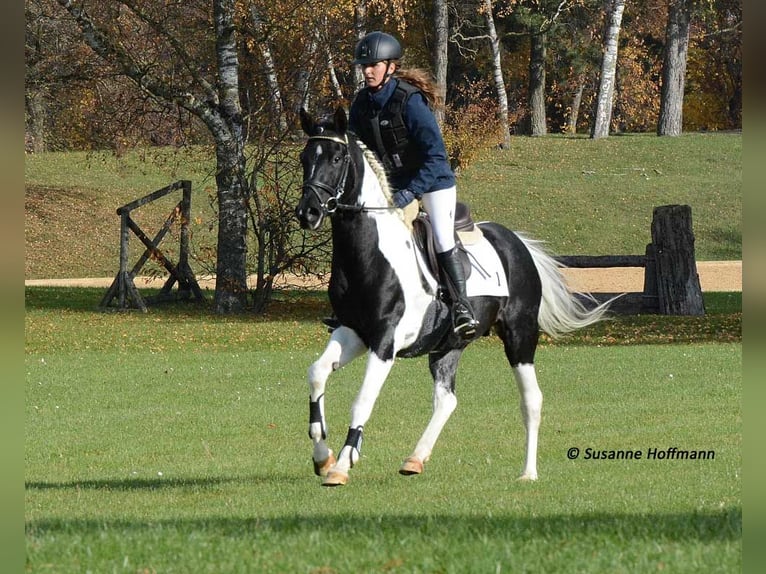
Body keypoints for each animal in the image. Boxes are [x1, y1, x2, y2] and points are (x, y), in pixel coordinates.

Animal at [296, 107, 616, 486]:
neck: (369, 253)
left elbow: (362, 401)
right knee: (446, 401)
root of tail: (517, 243)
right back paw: (415, 458)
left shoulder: (386, 340)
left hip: (520, 336)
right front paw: (323, 457)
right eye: (304, 158)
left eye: (336, 157)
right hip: (447, 346)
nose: (308, 212)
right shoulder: (353, 332)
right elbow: (316, 373)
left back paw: (528, 472)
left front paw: (342, 465)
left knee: (531, 400)